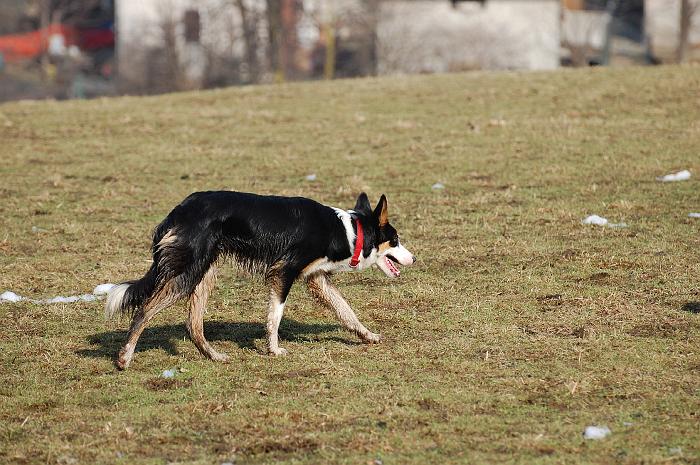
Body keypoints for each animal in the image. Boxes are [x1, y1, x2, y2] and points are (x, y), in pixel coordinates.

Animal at [104, 190, 416, 368]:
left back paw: (214, 356)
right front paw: (273, 349)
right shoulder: (283, 272)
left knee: (192, 324)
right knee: (144, 309)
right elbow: (275, 317)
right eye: (396, 240)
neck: (349, 231)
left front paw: (368, 335)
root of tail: (178, 211)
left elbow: (346, 311)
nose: (414, 259)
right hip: (187, 272)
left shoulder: (317, 279)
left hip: (205, 273)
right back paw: (124, 358)